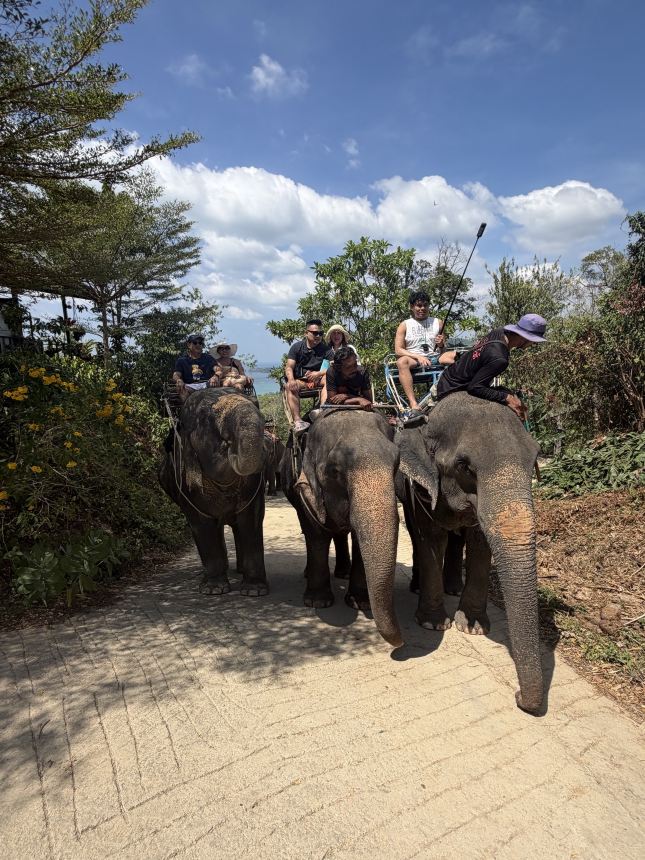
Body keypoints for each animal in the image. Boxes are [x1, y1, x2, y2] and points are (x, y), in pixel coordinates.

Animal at [159, 387, 269, 596]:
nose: (231, 444)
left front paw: (254, 591)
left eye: (256, 405)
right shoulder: (184, 485)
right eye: (205, 417)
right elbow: (201, 524)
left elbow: (251, 520)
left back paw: (239, 570)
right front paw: (214, 590)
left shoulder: (253, 485)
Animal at [281, 408, 403, 647]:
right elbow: (316, 533)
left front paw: (360, 603)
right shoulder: (304, 487)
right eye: (334, 471)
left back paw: (343, 573)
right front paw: (318, 602)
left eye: (396, 464)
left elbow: (357, 538)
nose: (401, 643)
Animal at [396, 392, 542, 714]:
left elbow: (479, 541)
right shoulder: (422, 486)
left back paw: (453, 586)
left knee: (457, 539)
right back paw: (418, 586)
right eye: (464, 466)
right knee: (417, 531)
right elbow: (431, 537)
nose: (518, 697)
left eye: (534, 459)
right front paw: (433, 624)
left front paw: (474, 628)